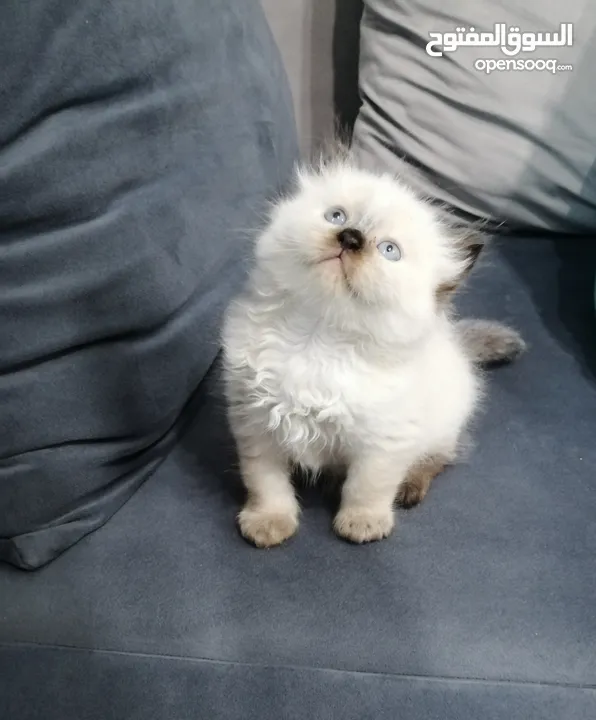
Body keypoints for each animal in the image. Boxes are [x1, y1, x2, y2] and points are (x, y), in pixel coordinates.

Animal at [221, 153, 524, 544]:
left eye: (389, 251)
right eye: (337, 216)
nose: (350, 238)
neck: (317, 339)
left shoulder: (384, 443)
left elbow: (366, 488)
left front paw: (362, 524)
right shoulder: (256, 426)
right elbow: (267, 484)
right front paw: (269, 524)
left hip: (441, 428)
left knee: (439, 458)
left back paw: (408, 488)